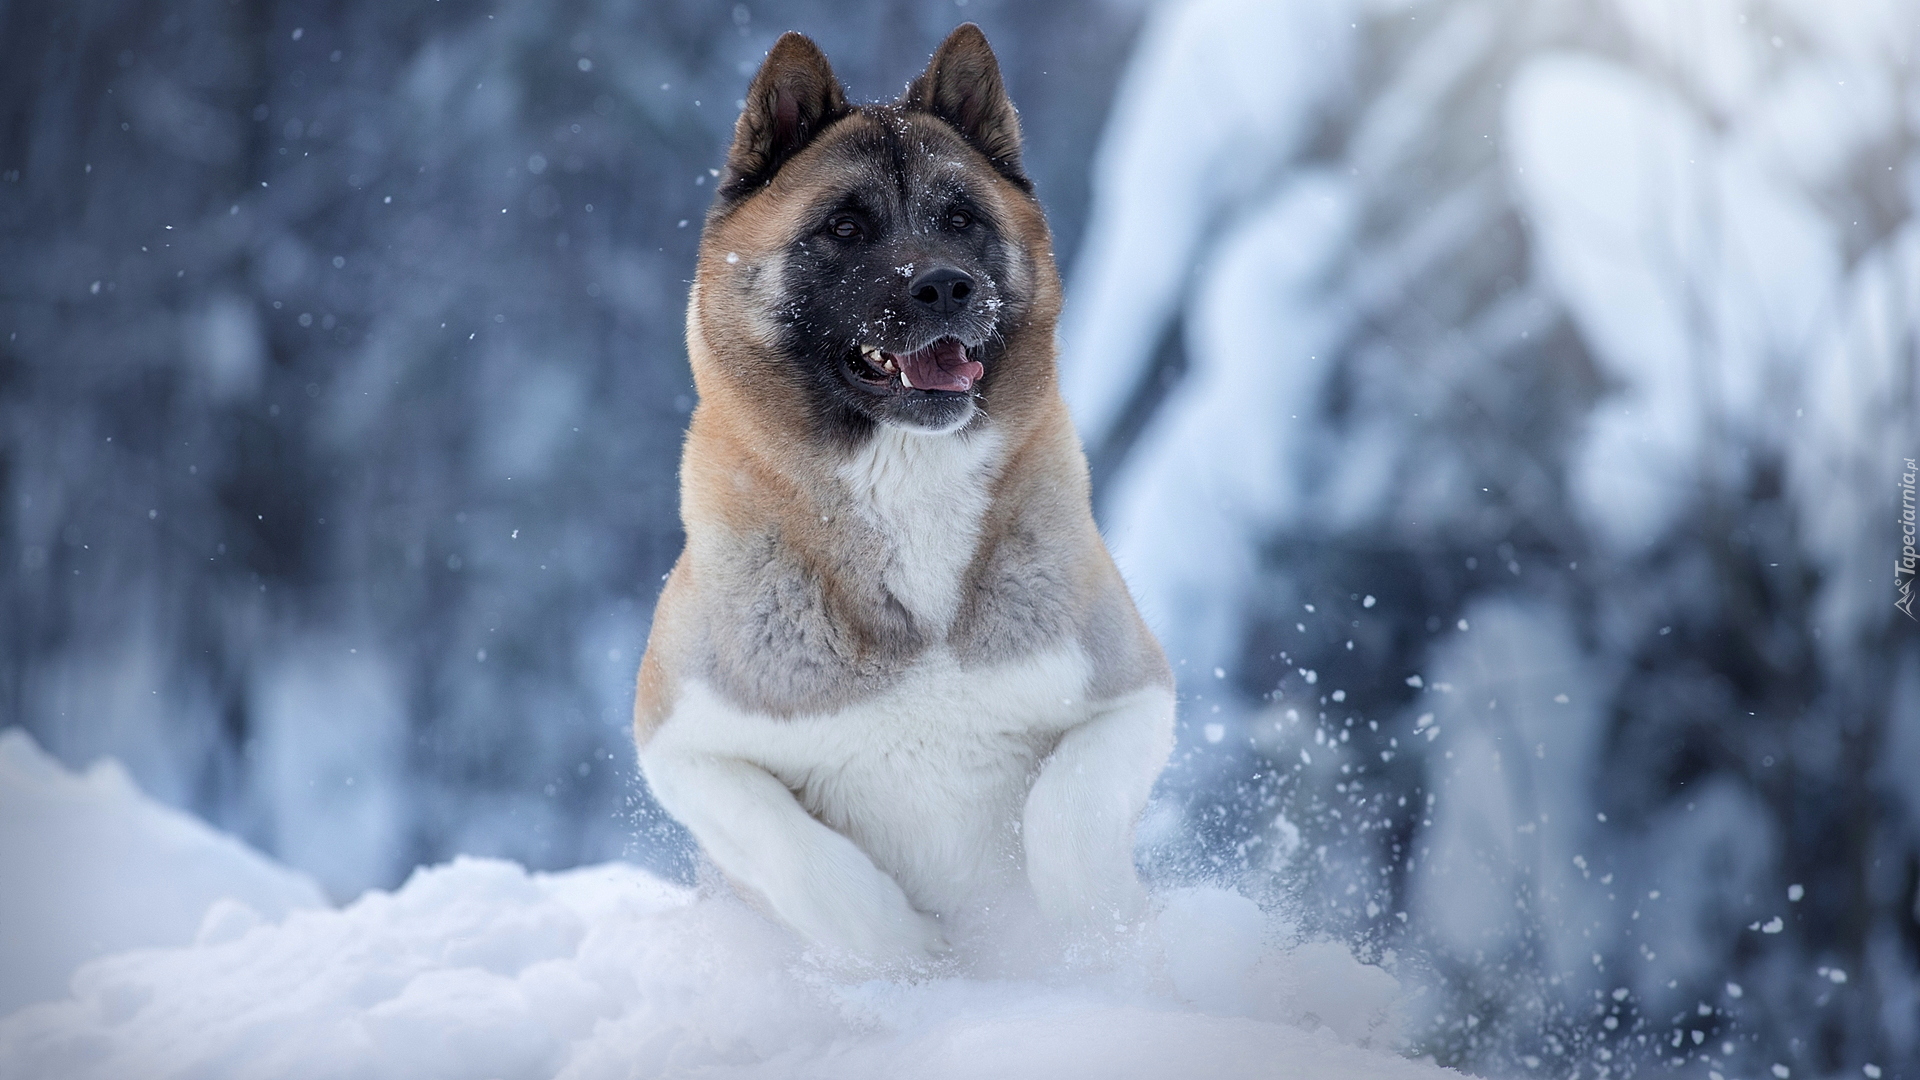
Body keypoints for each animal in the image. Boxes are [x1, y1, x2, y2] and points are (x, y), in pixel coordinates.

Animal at [633, 23, 1167, 968]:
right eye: (844, 226)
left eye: (961, 219)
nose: (947, 285)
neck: (908, 489)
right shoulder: (684, 747)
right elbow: (801, 858)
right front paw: (910, 957)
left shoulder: (1134, 695)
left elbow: (1066, 817)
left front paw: (1092, 943)